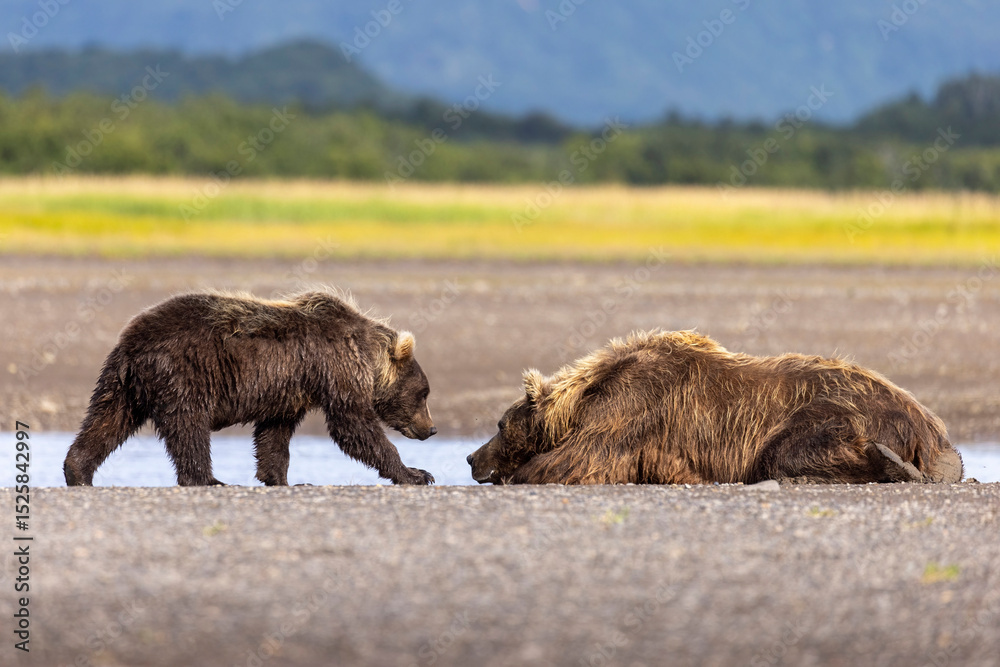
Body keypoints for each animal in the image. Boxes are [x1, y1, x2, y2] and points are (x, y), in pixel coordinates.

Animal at [64, 288, 437, 487]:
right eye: (423, 394)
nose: (431, 429)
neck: (367, 357)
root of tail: (133, 343)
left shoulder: (290, 388)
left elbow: (274, 435)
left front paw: (280, 478)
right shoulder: (335, 368)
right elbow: (354, 426)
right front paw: (416, 473)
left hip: (121, 382)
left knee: (107, 420)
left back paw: (77, 470)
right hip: (183, 374)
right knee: (188, 427)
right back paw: (208, 479)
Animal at [467, 330, 963, 485]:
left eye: (499, 423)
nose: (471, 456)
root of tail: (929, 426)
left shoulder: (631, 407)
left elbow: (578, 460)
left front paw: (520, 471)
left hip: (838, 414)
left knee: (784, 454)